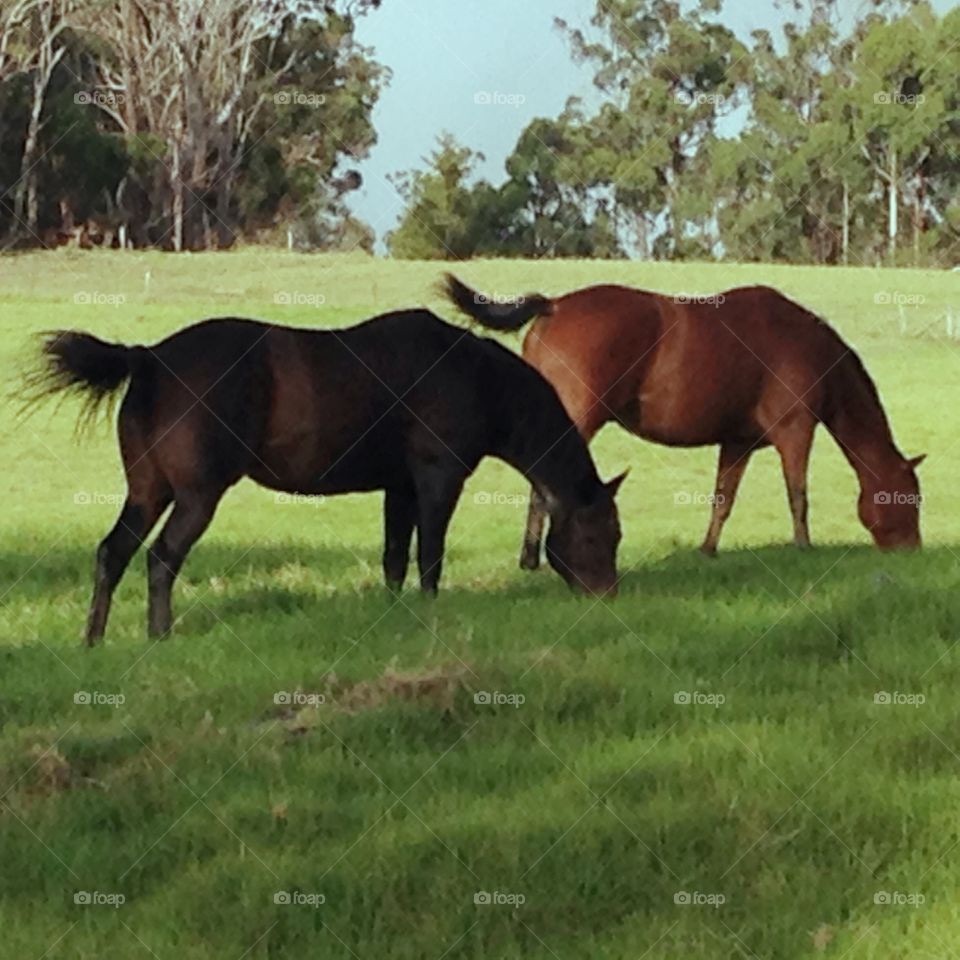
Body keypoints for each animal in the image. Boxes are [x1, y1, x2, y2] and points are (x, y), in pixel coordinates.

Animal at [27, 311, 626, 644]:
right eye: (603, 533)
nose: (609, 596)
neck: (473, 377)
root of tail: (148, 358)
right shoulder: (437, 479)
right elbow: (429, 554)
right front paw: (432, 610)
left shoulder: (398, 487)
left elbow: (393, 557)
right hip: (196, 496)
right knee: (161, 558)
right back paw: (160, 634)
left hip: (147, 492)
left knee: (113, 553)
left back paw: (94, 639)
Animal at [444, 276, 924, 566]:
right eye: (911, 500)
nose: (912, 551)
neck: (807, 346)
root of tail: (554, 307)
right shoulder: (796, 433)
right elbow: (798, 496)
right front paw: (803, 548)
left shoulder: (737, 443)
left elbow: (723, 499)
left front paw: (707, 550)